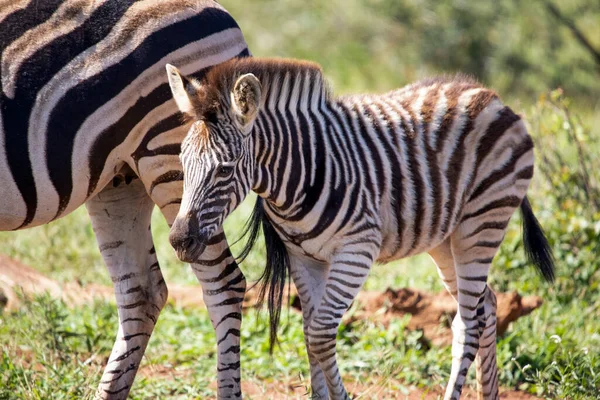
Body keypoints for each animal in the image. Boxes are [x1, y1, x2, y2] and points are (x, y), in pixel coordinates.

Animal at [168, 57, 552, 400]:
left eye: (224, 169)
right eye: (183, 162)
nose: (179, 240)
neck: (299, 175)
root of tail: (491, 96)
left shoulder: (356, 251)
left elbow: (321, 333)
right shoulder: (303, 257)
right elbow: (309, 331)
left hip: (482, 222)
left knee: (469, 323)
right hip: (445, 239)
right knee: (486, 306)